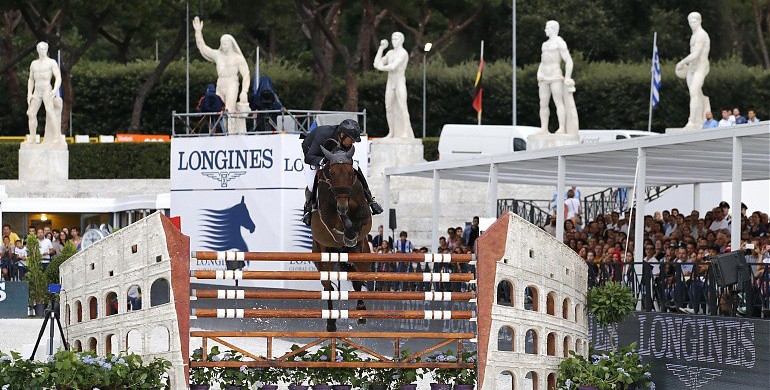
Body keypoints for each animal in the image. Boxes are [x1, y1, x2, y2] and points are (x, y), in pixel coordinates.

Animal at [310, 144, 374, 332]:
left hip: (363, 257)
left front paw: (351, 235)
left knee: (358, 280)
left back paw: (361, 312)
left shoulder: (363, 208)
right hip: (322, 258)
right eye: (331, 173)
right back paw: (331, 323)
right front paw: (346, 231)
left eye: (351, 173)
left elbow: (361, 215)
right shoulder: (328, 214)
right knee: (329, 287)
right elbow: (339, 219)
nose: (343, 202)